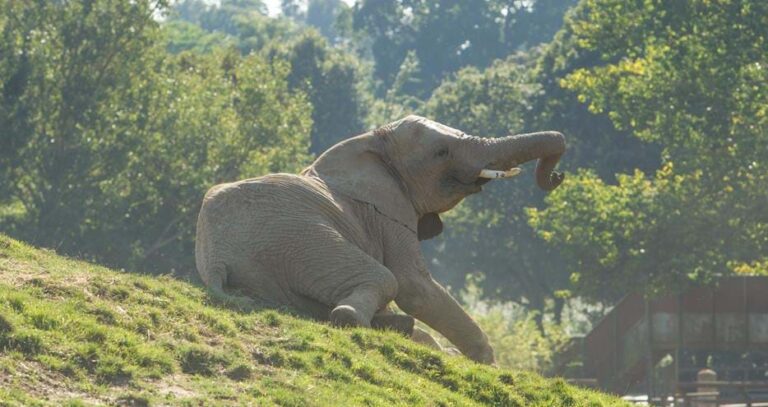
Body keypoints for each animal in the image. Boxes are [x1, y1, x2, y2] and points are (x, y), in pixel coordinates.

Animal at [195, 116, 560, 364]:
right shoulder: (387, 213)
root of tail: (216, 257)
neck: (371, 140)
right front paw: (486, 362)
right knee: (384, 279)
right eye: (441, 152)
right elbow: (414, 285)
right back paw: (358, 320)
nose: (556, 176)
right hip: (299, 236)